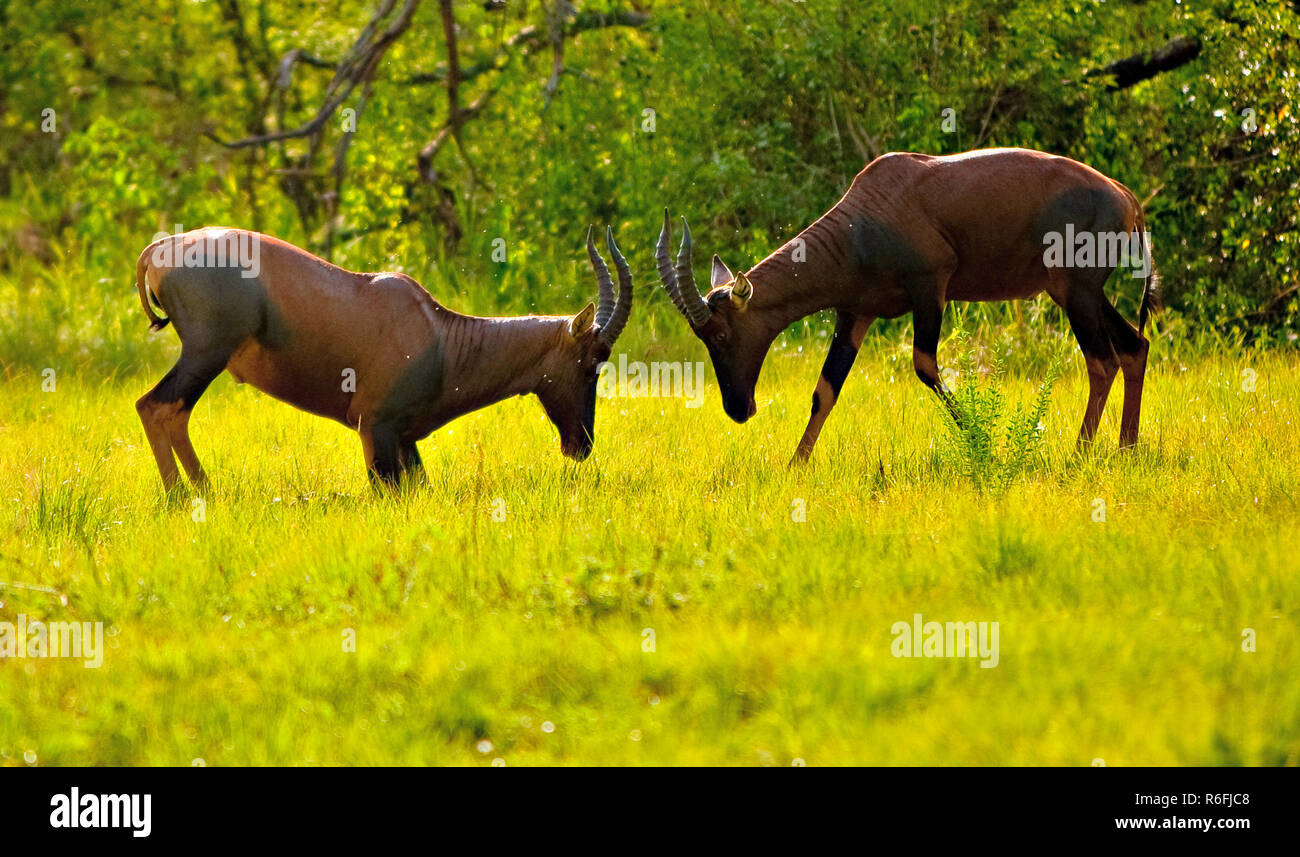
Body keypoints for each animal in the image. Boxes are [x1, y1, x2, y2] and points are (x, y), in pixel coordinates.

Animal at [134, 224, 631, 491]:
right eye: (592, 363)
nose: (581, 445)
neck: (439, 335)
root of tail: (161, 249)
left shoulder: (406, 440)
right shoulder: (375, 429)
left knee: (169, 410)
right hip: (206, 354)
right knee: (156, 406)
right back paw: (190, 498)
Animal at [655, 147, 1164, 462]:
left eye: (721, 333)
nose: (739, 408)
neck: (866, 215)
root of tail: (1127, 198)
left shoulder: (930, 289)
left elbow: (924, 365)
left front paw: (984, 445)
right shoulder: (855, 314)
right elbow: (825, 390)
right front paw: (794, 466)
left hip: (1078, 293)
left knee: (1102, 361)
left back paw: (1079, 454)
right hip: (1079, 293)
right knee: (1133, 348)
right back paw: (1126, 449)